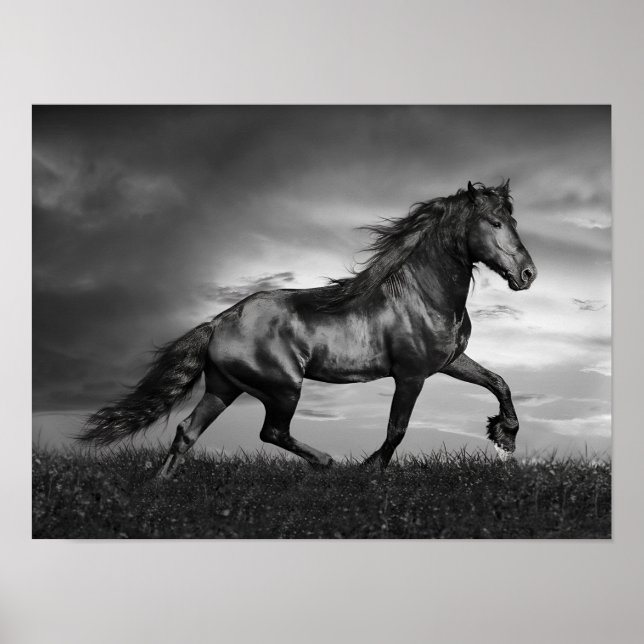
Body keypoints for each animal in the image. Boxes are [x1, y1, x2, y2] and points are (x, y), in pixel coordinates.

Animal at [80, 180, 537, 478]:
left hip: (223, 387)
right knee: (272, 432)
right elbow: (397, 429)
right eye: (494, 223)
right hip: (283, 387)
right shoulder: (411, 375)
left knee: (187, 432)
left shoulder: (448, 361)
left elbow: (499, 382)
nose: (528, 274)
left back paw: (160, 486)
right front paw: (369, 471)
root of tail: (218, 322)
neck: (423, 294)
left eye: (513, 221)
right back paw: (329, 463)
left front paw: (505, 437)